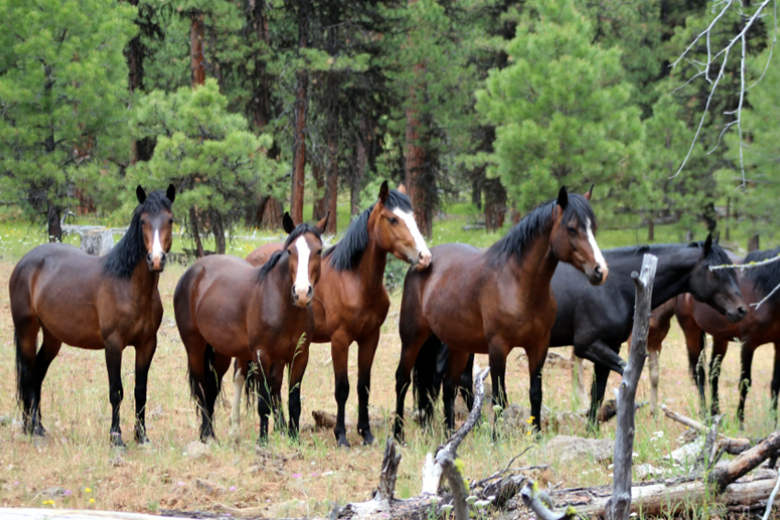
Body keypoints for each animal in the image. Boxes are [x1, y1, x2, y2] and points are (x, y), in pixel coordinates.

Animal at [9, 185, 176, 446]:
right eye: (143, 221)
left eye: (169, 219)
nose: (156, 259)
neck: (128, 286)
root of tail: (25, 262)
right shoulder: (113, 344)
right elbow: (116, 391)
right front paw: (116, 438)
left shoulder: (147, 344)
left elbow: (140, 390)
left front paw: (142, 437)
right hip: (27, 330)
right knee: (28, 372)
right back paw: (33, 427)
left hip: (52, 337)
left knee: (37, 373)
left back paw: (36, 426)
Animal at [173, 212, 327, 443]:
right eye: (290, 251)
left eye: (318, 250)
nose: (301, 292)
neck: (280, 305)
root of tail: (193, 271)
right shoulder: (261, 356)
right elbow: (263, 403)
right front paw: (263, 440)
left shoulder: (299, 356)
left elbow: (293, 401)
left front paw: (293, 438)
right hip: (194, 347)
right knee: (201, 387)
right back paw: (207, 434)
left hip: (221, 352)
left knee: (212, 387)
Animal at [235, 181, 431, 447]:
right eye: (393, 219)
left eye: (413, 218)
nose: (424, 257)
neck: (355, 282)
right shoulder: (340, 340)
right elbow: (342, 388)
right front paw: (341, 436)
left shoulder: (370, 338)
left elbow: (363, 386)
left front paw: (366, 432)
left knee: (274, 385)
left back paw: (282, 428)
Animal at [394, 186, 608, 439]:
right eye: (572, 228)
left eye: (594, 227)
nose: (600, 271)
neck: (518, 284)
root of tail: (421, 262)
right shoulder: (498, 349)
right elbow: (498, 398)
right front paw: (496, 439)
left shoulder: (539, 346)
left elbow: (535, 393)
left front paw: (536, 435)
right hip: (413, 339)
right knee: (402, 380)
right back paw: (398, 435)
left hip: (458, 346)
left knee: (448, 386)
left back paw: (451, 434)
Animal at [647, 247, 780, 426]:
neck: (766, 294)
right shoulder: (748, 343)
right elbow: (745, 381)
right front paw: (740, 422)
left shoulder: (779, 344)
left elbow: (775, 384)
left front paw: (774, 422)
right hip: (691, 330)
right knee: (700, 372)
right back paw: (705, 414)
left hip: (720, 336)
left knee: (713, 373)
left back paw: (715, 412)